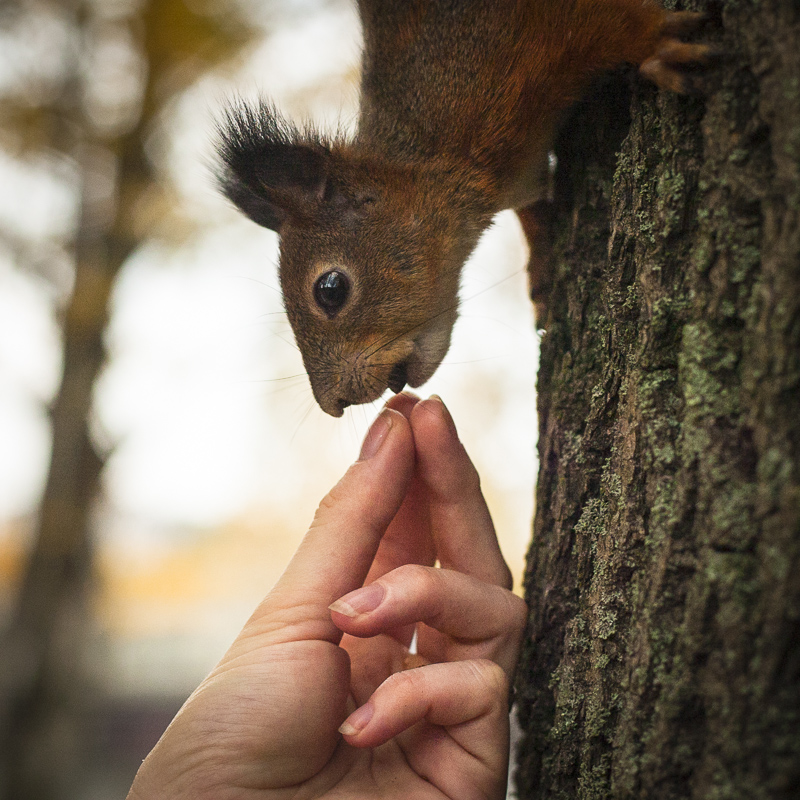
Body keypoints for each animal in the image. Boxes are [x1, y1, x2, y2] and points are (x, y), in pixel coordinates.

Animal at [216, 1, 708, 418]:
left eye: (330, 289)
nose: (331, 404)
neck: (429, 154)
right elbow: (532, 211)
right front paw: (543, 270)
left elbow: (616, 23)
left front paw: (658, 45)